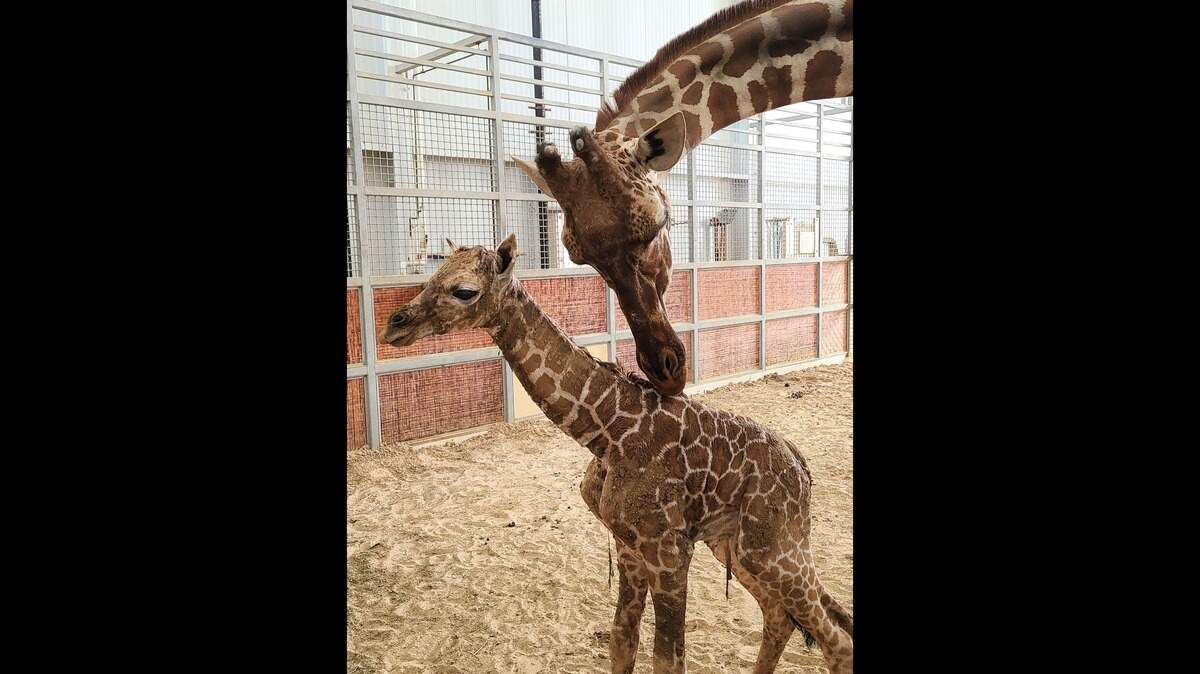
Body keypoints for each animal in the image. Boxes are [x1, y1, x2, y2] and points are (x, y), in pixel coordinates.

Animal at [378, 235, 853, 674]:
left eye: (464, 290)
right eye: (431, 277)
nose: (393, 325)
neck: (608, 433)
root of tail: (801, 466)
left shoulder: (669, 550)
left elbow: (667, 659)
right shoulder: (628, 545)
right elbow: (622, 639)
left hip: (772, 548)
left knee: (834, 639)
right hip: (737, 545)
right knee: (781, 618)